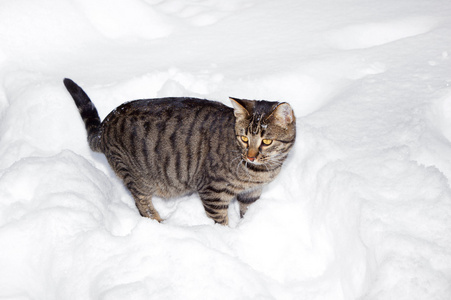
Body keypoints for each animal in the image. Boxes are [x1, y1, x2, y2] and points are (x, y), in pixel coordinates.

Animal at [64, 78, 296, 225]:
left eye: (266, 141)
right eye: (244, 138)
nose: (251, 156)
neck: (261, 171)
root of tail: (105, 125)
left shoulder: (251, 194)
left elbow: (246, 213)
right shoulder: (213, 192)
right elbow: (220, 221)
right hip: (137, 177)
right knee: (142, 205)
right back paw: (158, 223)